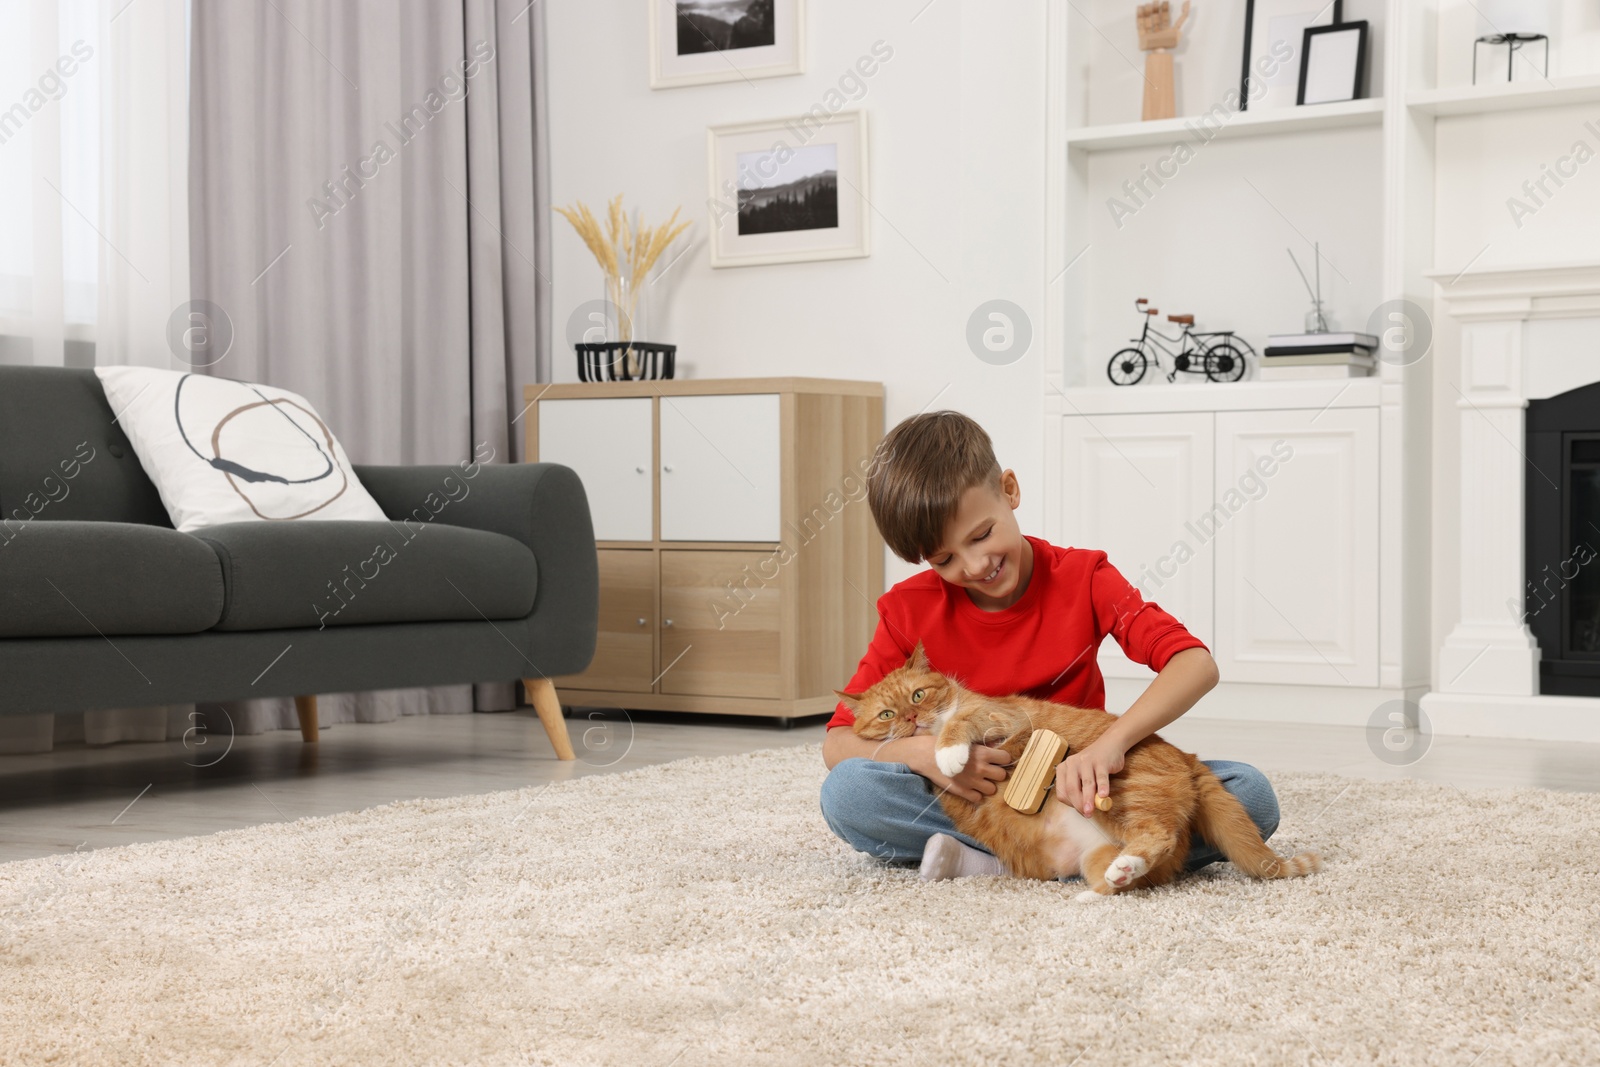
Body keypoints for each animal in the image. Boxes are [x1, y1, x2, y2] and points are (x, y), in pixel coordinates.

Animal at [838, 643, 1324, 902]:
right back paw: (1102, 886)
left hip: (1120, 797)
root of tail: (1186, 755)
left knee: (1160, 836)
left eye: (918, 695)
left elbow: (960, 725)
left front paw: (950, 755)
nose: (911, 721)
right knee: (1133, 873)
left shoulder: (1003, 719)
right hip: (1097, 854)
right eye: (886, 714)